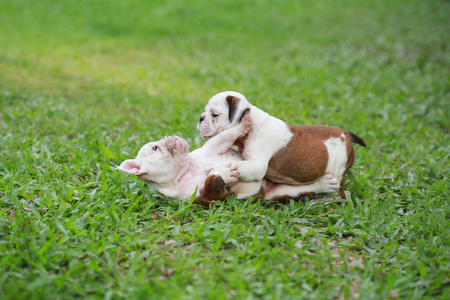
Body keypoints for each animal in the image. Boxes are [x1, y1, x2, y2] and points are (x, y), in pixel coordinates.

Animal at [116, 112, 338, 206]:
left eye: (159, 141)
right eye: (155, 148)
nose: (168, 138)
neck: (185, 171)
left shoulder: (214, 146)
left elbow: (226, 135)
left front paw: (242, 124)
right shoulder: (207, 199)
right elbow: (212, 181)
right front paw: (222, 172)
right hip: (280, 194)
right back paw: (325, 185)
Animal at [198, 90, 366, 200]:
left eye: (215, 115)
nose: (201, 117)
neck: (252, 124)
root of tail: (347, 135)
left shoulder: (257, 165)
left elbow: (239, 165)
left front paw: (218, 167)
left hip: (338, 171)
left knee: (340, 195)